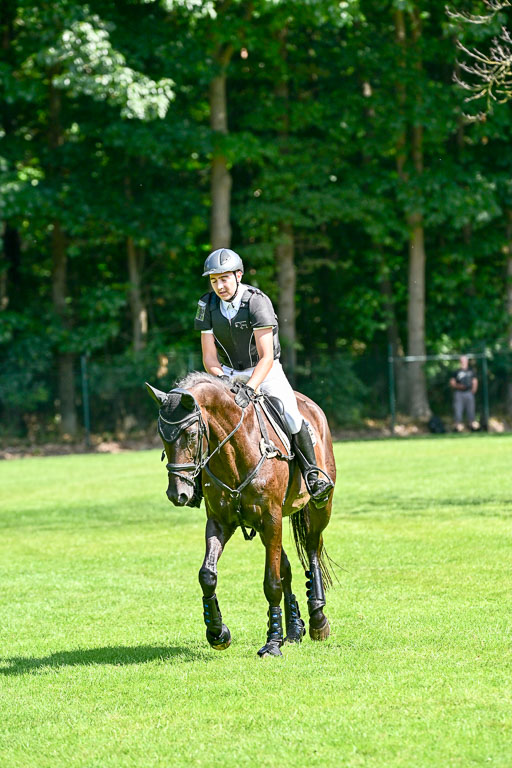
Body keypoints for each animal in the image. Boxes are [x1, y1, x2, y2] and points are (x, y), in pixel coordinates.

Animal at [146, 372, 336, 658]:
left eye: (190, 434)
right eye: (162, 436)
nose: (177, 494)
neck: (235, 451)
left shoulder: (271, 520)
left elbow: (271, 583)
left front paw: (272, 642)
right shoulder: (220, 522)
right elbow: (207, 575)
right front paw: (217, 632)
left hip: (317, 509)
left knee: (312, 550)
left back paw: (317, 620)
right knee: (287, 567)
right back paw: (294, 629)